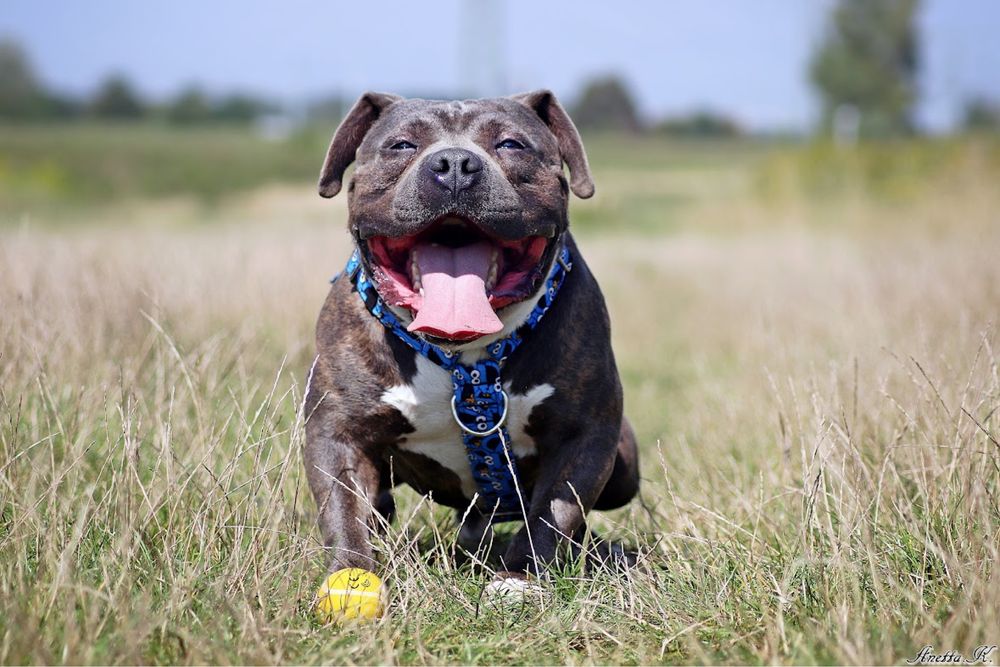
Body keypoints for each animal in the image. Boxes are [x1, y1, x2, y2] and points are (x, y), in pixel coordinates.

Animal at [300, 90, 640, 596]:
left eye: (511, 144)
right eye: (401, 145)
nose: (456, 163)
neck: (464, 355)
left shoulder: (586, 434)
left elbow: (553, 513)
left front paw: (520, 575)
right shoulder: (336, 432)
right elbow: (344, 510)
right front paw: (352, 574)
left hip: (624, 468)